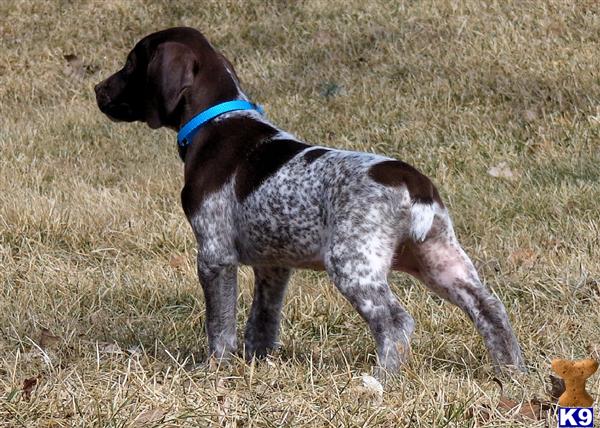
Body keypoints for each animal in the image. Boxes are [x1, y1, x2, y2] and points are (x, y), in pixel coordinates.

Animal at [95, 26, 524, 374]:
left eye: (130, 63)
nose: (98, 89)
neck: (216, 121)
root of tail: (413, 182)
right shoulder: (273, 265)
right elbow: (262, 320)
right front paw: (256, 363)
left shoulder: (215, 255)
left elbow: (219, 323)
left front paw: (214, 367)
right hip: (439, 259)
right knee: (491, 309)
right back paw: (512, 373)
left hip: (352, 264)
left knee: (395, 322)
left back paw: (382, 380)